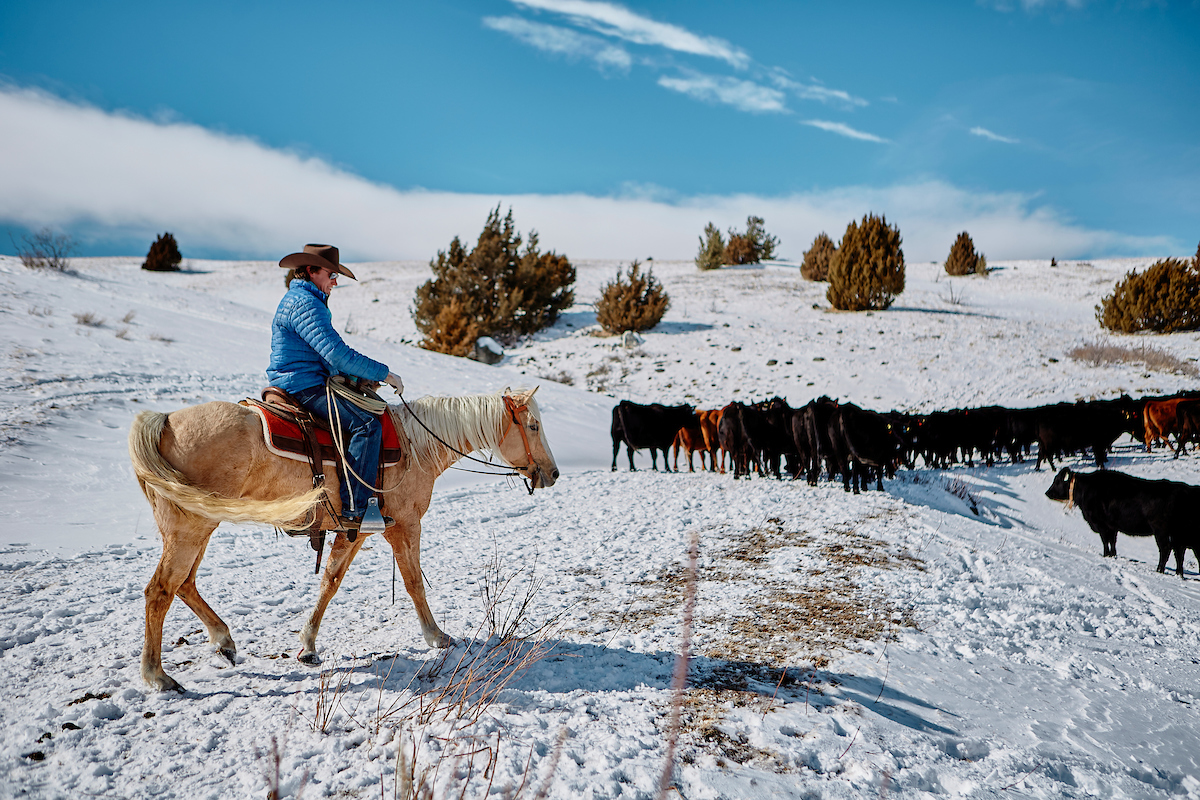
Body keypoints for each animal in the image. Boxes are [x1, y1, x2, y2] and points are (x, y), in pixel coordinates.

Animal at [126, 386, 556, 690]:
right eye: (533, 426)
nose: (551, 473)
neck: (417, 447)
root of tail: (163, 421)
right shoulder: (404, 526)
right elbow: (414, 583)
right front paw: (437, 636)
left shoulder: (356, 530)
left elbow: (330, 581)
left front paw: (308, 646)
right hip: (190, 528)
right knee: (160, 590)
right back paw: (156, 676)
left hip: (200, 526)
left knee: (184, 584)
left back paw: (223, 641)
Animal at [1041, 470, 1200, 575]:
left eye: (1057, 481)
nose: (1047, 492)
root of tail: (1185, 489)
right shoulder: (1112, 527)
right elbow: (1112, 542)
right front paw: (1112, 555)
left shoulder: (1102, 525)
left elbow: (1105, 541)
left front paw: (1105, 555)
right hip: (1178, 534)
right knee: (1178, 553)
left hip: (1161, 530)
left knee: (1165, 549)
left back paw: (1159, 570)